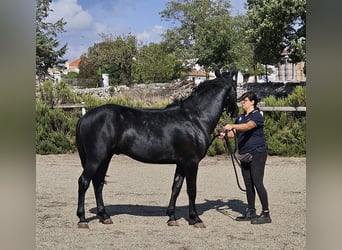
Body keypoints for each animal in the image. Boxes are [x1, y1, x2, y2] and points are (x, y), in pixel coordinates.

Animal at [76, 69, 239, 229]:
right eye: (235, 86)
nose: (236, 112)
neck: (195, 118)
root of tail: (84, 118)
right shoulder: (192, 162)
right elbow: (191, 190)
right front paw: (195, 218)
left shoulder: (182, 163)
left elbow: (176, 187)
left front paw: (172, 217)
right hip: (96, 158)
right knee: (84, 182)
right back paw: (82, 219)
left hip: (105, 158)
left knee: (98, 183)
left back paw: (104, 216)